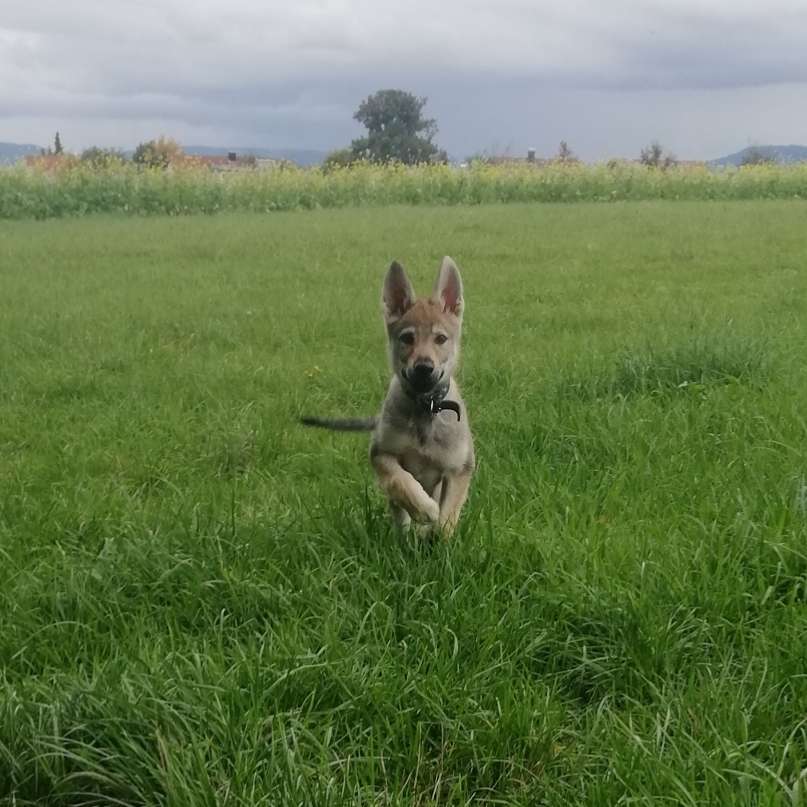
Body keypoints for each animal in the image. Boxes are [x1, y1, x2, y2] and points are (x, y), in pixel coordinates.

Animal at [306, 258, 476, 536]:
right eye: (407, 338)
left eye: (441, 338)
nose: (424, 367)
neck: (425, 408)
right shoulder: (382, 452)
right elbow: (401, 481)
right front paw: (424, 509)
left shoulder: (458, 469)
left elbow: (447, 518)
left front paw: (437, 533)